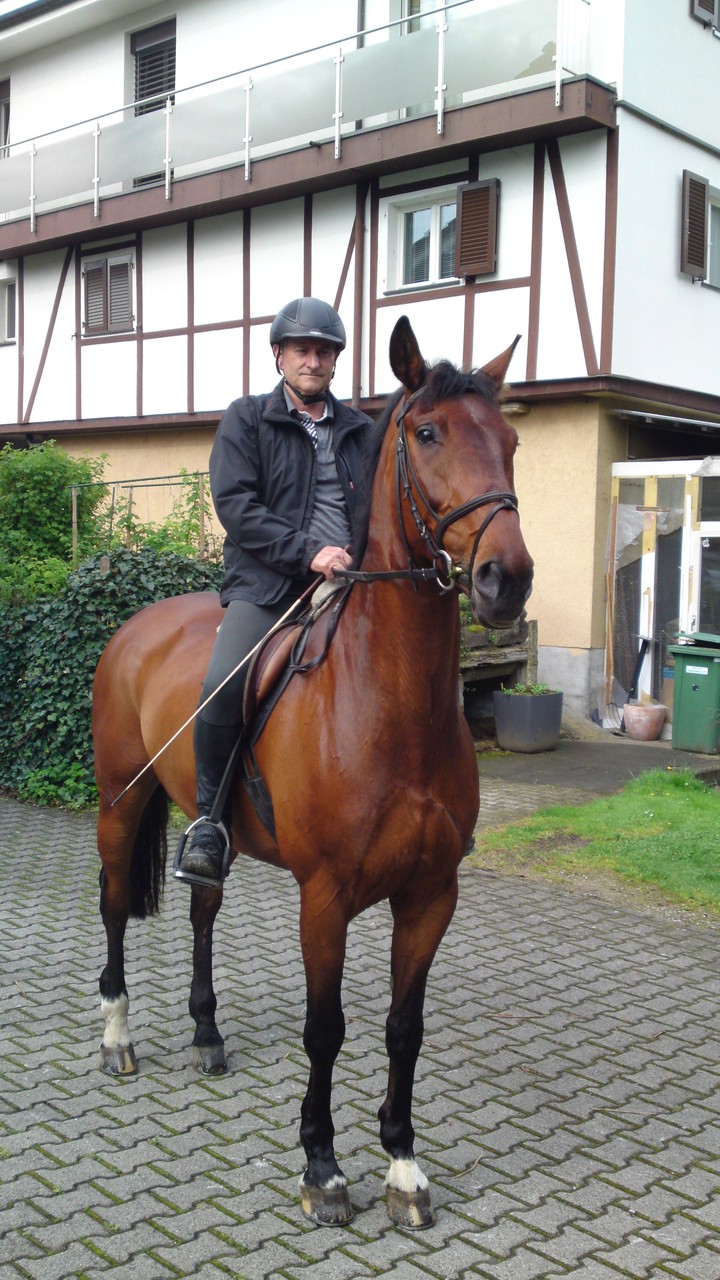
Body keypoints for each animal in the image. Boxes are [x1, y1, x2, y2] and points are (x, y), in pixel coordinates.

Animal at [90, 317, 532, 1228]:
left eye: (510, 443)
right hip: (121, 801)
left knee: (203, 910)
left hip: (205, 825)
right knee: (115, 907)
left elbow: (404, 1027)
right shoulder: (324, 897)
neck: (390, 706)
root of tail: (135, 626)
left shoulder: (431, 895)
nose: (506, 579)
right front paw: (323, 1169)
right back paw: (118, 1037)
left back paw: (208, 1035)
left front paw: (403, 1165)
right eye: (428, 434)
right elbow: (324, 1029)